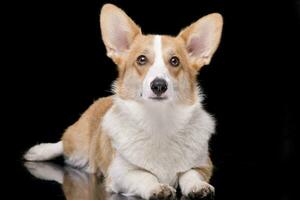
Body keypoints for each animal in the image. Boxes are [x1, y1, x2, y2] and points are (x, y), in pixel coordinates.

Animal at [24, 3, 223, 200]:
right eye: (141, 59)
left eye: (175, 61)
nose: (159, 85)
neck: (158, 121)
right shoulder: (120, 173)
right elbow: (144, 175)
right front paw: (157, 187)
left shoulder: (203, 165)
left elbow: (190, 174)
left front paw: (198, 186)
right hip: (77, 145)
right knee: (64, 143)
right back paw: (39, 151)